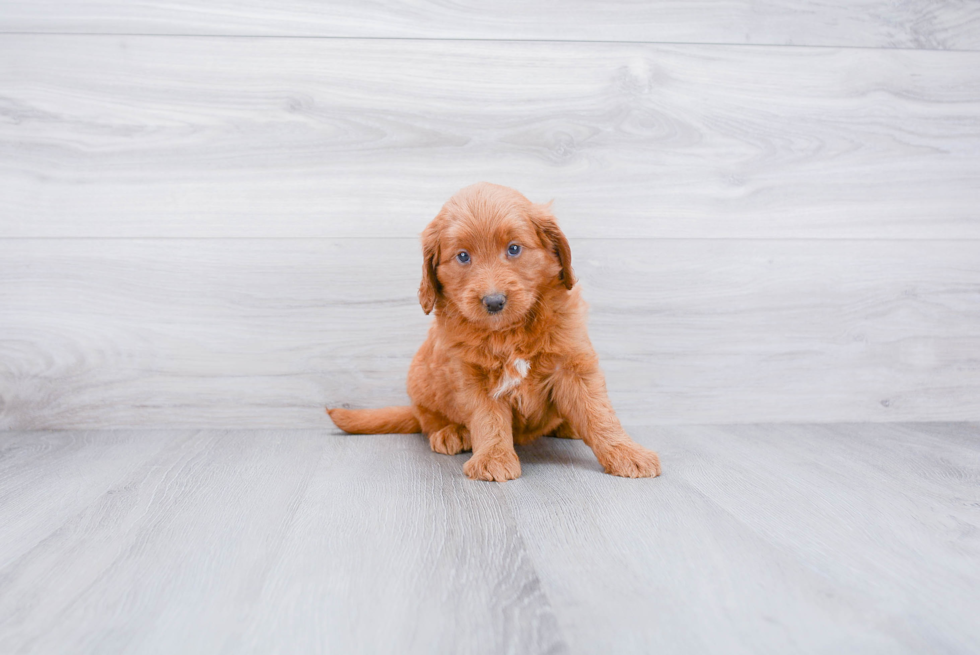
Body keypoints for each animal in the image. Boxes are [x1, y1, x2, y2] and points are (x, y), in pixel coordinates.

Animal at [328, 183, 660, 482]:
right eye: (463, 256)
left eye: (513, 249)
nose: (494, 301)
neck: (509, 332)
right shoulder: (471, 375)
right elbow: (487, 419)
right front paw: (493, 458)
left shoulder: (573, 363)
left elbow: (598, 412)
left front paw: (627, 452)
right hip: (420, 381)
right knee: (426, 418)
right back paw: (450, 432)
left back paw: (568, 426)